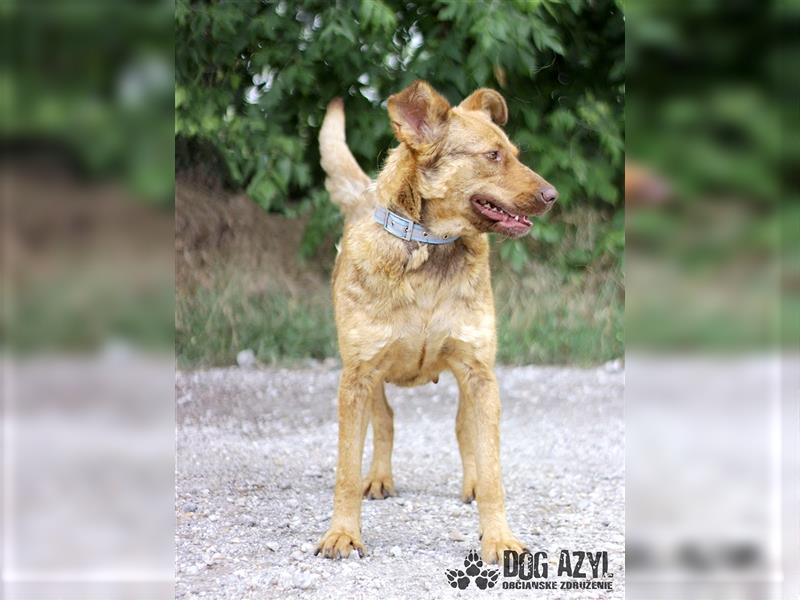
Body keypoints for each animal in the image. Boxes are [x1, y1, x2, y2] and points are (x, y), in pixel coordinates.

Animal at [312, 79, 556, 564]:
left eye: (514, 152)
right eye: (492, 155)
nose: (553, 195)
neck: (430, 248)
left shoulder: (479, 373)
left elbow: (492, 468)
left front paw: (498, 537)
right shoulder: (358, 376)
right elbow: (346, 469)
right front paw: (343, 534)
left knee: (464, 433)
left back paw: (471, 483)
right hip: (372, 378)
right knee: (385, 421)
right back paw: (379, 478)